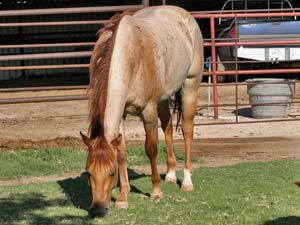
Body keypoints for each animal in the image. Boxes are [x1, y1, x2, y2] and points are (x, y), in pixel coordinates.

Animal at [79, 5, 204, 216]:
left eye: (111, 173)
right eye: (89, 172)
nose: (98, 210)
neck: (130, 55)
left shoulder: (148, 111)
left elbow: (151, 149)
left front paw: (155, 192)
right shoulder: (121, 115)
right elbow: (121, 153)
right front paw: (123, 196)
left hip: (190, 85)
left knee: (187, 130)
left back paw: (186, 181)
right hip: (163, 99)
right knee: (168, 128)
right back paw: (170, 176)